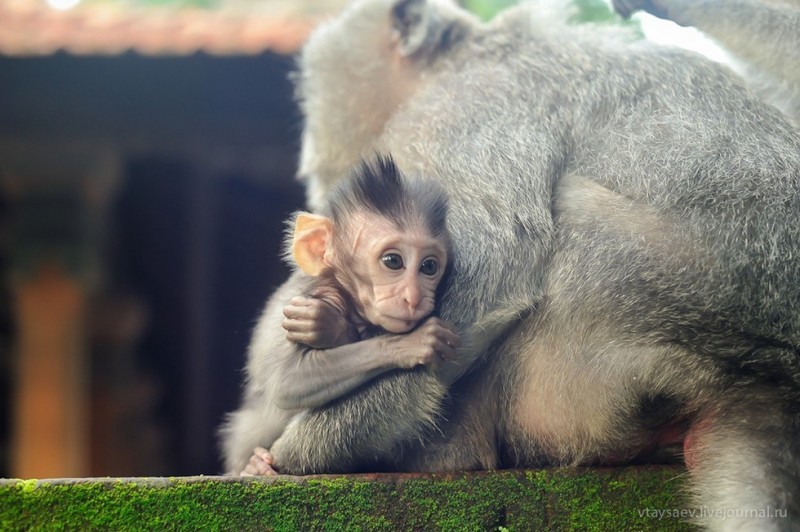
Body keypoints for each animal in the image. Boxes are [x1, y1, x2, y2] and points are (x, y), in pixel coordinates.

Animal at [219, 156, 460, 476]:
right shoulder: (321, 294)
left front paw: (331, 327)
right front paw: (411, 343)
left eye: (429, 267)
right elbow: (289, 381)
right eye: (393, 261)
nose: (414, 297)